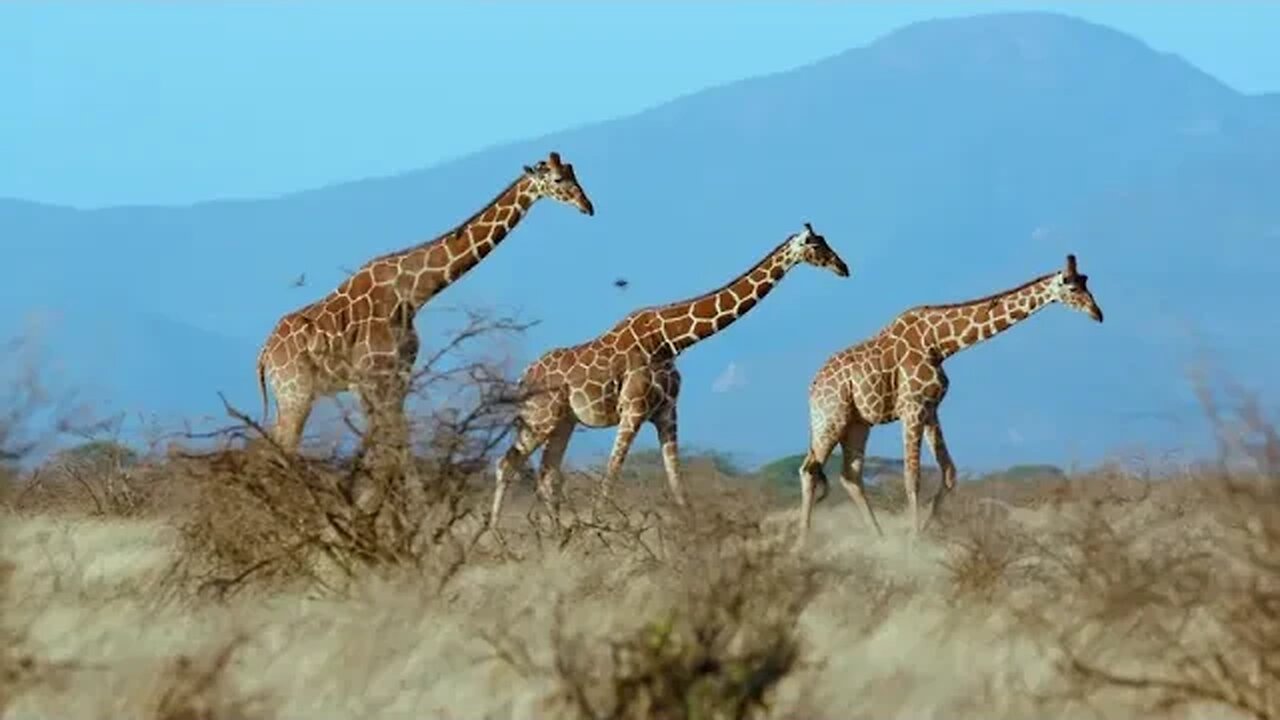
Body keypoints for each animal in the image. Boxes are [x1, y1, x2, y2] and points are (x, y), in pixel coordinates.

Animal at [259, 149, 599, 453]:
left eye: (575, 174)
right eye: (557, 179)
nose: (588, 206)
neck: (412, 293)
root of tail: (263, 356)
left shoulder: (397, 378)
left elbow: (395, 442)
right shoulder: (377, 379)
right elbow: (392, 444)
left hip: (292, 394)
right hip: (295, 393)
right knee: (282, 445)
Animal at [491, 221, 849, 525]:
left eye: (826, 240)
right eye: (816, 245)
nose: (843, 267)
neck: (669, 340)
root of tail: (523, 378)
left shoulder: (667, 412)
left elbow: (677, 482)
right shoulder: (633, 410)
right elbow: (612, 474)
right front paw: (595, 530)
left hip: (563, 422)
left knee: (547, 474)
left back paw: (553, 535)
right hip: (541, 418)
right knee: (508, 463)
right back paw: (496, 535)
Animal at [793, 254, 1105, 540]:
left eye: (1086, 281)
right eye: (1072, 287)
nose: (1097, 313)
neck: (939, 343)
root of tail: (812, 387)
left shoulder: (931, 409)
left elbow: (950, 473)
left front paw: (927, 528)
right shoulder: (912, 408)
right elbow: (912, 477)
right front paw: (914, 541)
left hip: (857, 424)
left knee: (850, 475)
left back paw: (878, 538)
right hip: (831, 417)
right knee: (810, 469)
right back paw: (803, 542)